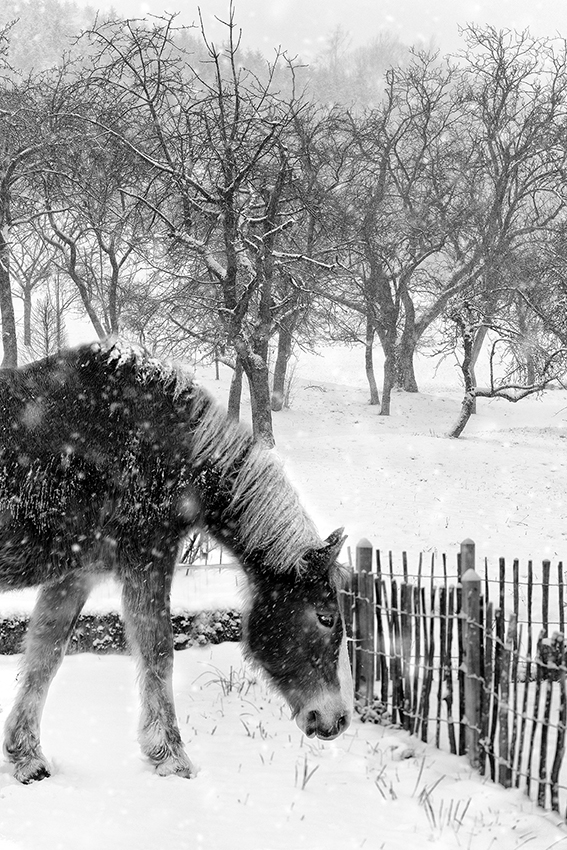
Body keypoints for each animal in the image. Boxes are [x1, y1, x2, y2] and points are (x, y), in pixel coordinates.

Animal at [0, 338, 352, 780]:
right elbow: (159, 652)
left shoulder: (78, 572)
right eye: (326, 617)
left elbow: (44, 655)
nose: (336, 719)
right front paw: (171, 756)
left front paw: (26, 756)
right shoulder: (148, 558)